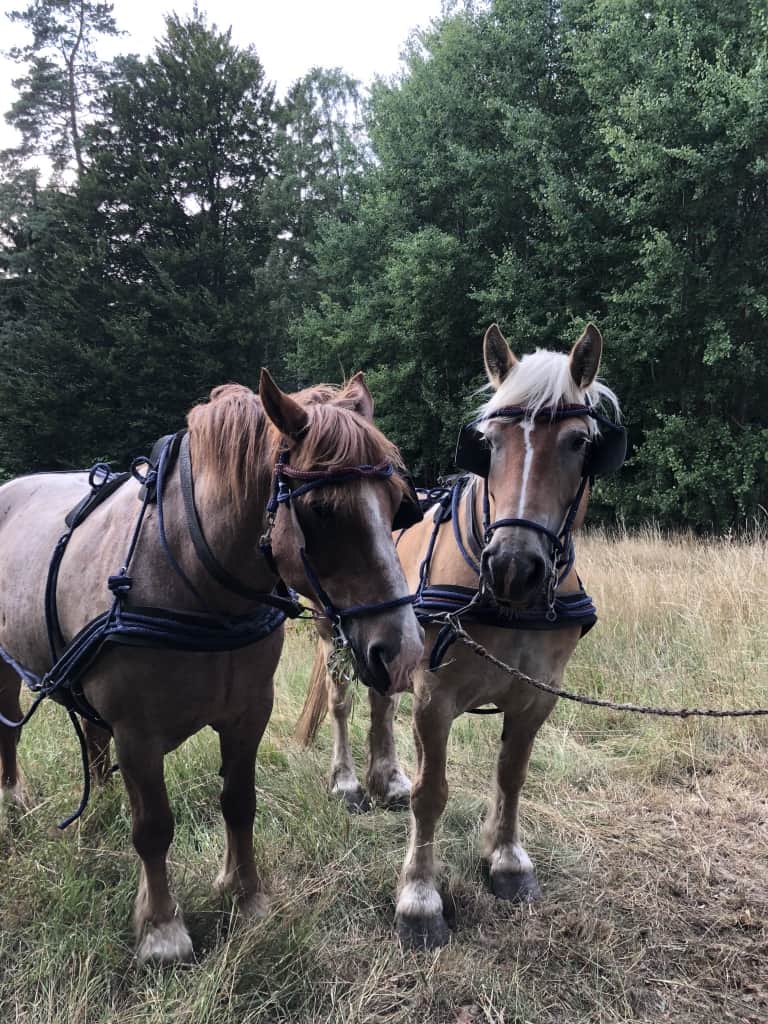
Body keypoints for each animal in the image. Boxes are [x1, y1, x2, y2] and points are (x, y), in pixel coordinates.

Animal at [0, 370, 423, 963]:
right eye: (322, 510)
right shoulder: (137, 733)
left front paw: (244, 895)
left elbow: (239, 803)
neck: (197, 580)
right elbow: (153, 826)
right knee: (10, 731)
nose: (402, 651)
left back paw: (101, 799)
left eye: (397, 503)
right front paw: (161, 929)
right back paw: (15, 800)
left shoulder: (249, 715)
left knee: (90, 733)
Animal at [296, 324, 624, 947]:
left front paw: (508, 861)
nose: (514, 566)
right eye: (488, 442)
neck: (506, 604)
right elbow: (434, 794)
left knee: (380, 703)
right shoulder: (435, 698)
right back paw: (350, 784)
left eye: (578, 443)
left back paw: (387, 780)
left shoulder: (536, 696)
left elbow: (512, 776)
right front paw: (419, 899)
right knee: (345, 703)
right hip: (334, 635)